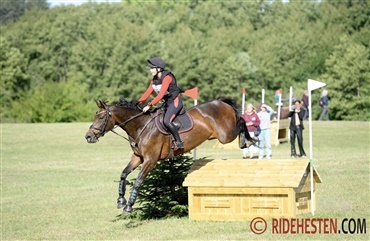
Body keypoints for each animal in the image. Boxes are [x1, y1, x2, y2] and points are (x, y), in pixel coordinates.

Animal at [85, 97, 256, 214]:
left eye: (101, 117)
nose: (88, 137)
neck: (141, 125)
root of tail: (222, 103)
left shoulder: (150, 160)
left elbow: (138, 181)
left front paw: (128, 206)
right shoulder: (138, 157)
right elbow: (123, 174)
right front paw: (121, 199)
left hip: (225, 136)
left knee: (241, 121)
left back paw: (247, 141)